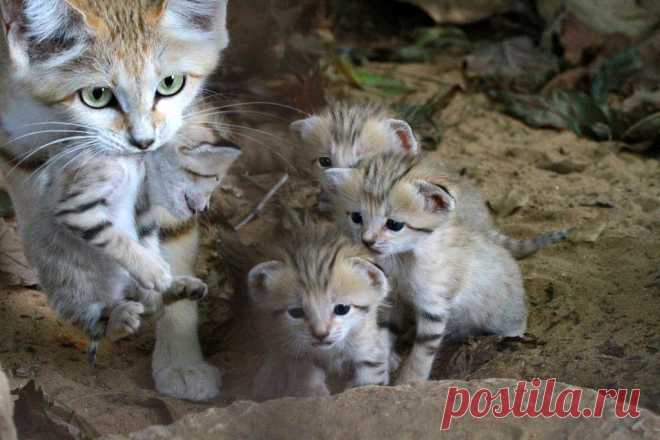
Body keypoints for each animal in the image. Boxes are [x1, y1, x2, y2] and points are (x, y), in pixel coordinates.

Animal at [246, 218, 394, 400]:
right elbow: (303, 370)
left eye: (342, 308)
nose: (321, 334)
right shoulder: (296, 350)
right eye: (296, 312)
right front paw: (312, 392)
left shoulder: (367, 346)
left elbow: (369, 380)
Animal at [322, 153, 528, 384]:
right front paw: (385, 364)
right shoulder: (390, 298)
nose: (367, 241)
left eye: (394, 224)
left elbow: (421, 354)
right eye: (357, 218)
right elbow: (383, 333)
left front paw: (409, 381)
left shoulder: (434, 307)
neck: (403, 260)